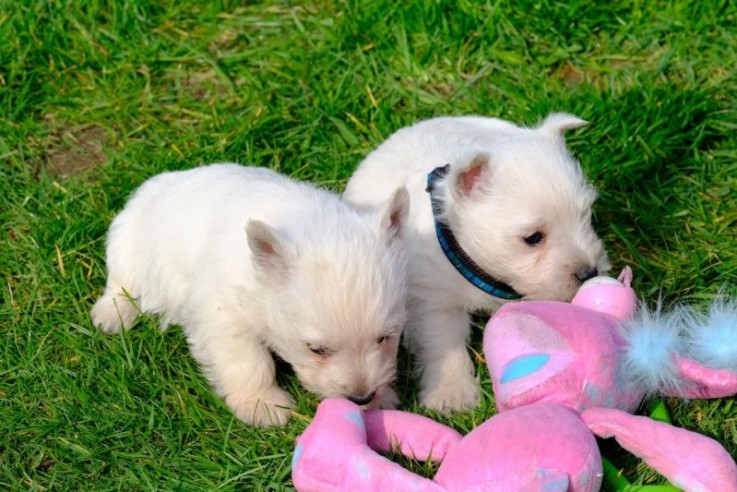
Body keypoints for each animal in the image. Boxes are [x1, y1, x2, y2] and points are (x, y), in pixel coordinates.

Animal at [91, 165, 408, 426]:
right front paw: (263, 405)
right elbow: (248, 361)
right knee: (121, 282)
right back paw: (112, 315)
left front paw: (382, 399)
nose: (361, 397)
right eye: (316, 349)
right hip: (127, 241)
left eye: (385, 337)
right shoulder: (222, 315)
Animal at [344, 113, 608, 414]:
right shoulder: (435, 299)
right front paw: (451, 394)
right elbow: (444, 343)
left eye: (585, 216)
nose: (590, 272)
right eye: (533, 238)